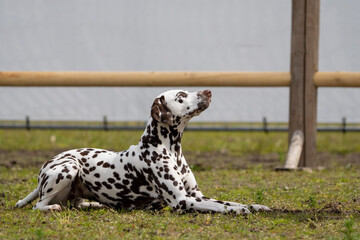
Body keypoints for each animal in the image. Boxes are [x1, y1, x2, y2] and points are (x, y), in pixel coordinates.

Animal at [16, 89, 270, 214]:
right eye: (181, 96)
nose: (208, 90)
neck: (171, 149)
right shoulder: (182, 201)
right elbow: (221, 206)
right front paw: (241, 211)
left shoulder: (196, 195)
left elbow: (229, 201)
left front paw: (254, 206)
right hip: (68, 168)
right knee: (40, 205)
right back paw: (52, 207)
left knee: (76, 203)